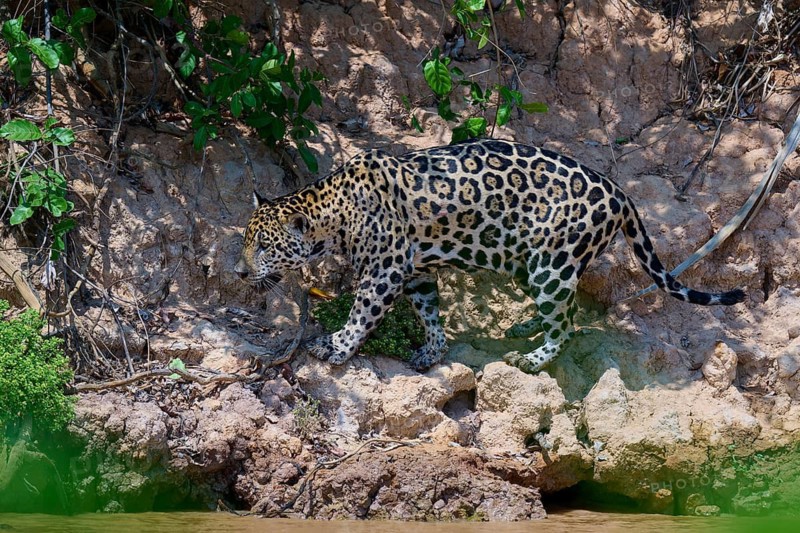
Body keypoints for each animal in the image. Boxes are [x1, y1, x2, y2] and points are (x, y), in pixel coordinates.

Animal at [234, 138, 746, 373]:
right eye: (245, 239)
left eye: (264, 246)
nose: (238, 271)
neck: (332, 212)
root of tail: (620, 192)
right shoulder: (416, 271)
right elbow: (429, 311)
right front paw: (433, 349)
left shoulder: (386, 269)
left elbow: (362, 313)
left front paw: (336, 347)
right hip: (532, 263)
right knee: (564, 308)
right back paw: (525, 327)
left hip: (551, 264)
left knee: (567, 322)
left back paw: (533, 358)